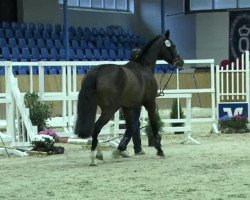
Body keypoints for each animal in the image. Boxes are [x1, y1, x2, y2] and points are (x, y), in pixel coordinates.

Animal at [74, 30, 184, 166]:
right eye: (172, 45)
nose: (180, 62)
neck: (144, 67)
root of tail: (96, 72)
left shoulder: (127, 107)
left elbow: (131, 126)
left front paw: (120, 150)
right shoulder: (150, 103)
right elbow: (153, 125)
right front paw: (160, 150)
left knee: (96, 129)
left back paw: (99, 155)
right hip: (109, 109)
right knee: (96, 128)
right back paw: (93, 158)